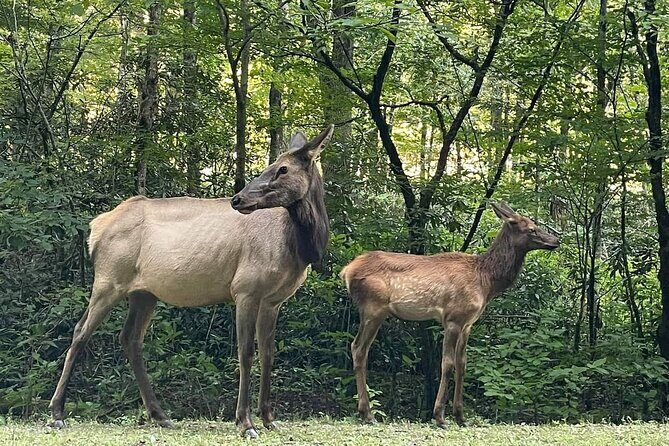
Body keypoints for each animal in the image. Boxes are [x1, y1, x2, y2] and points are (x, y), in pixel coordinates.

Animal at [49, 125, 334, 439]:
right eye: (270, 166)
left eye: (283, 168)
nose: (238, 199)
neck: (299, 247)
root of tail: (95, 229)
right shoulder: (245, 290)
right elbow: (246, 352)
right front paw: (245, 422)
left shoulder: (274, 300)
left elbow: (268, 354)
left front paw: (269, 418)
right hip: (108, 280)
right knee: (80, 332)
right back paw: (56, 413)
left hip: (144, 293)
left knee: (130, 338)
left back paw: (160, 415)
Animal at [340, 202, 559, 428]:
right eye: (531, 229)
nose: (556, 240)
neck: (487, 282)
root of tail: (346, 271)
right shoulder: (453, 318)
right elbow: (447, 364)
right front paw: (440, 416)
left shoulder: (468, 323)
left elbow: (462, 364)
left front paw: (461, 416)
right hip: (374, 308)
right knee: (359, 348)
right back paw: (368, 413)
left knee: (358, 348)